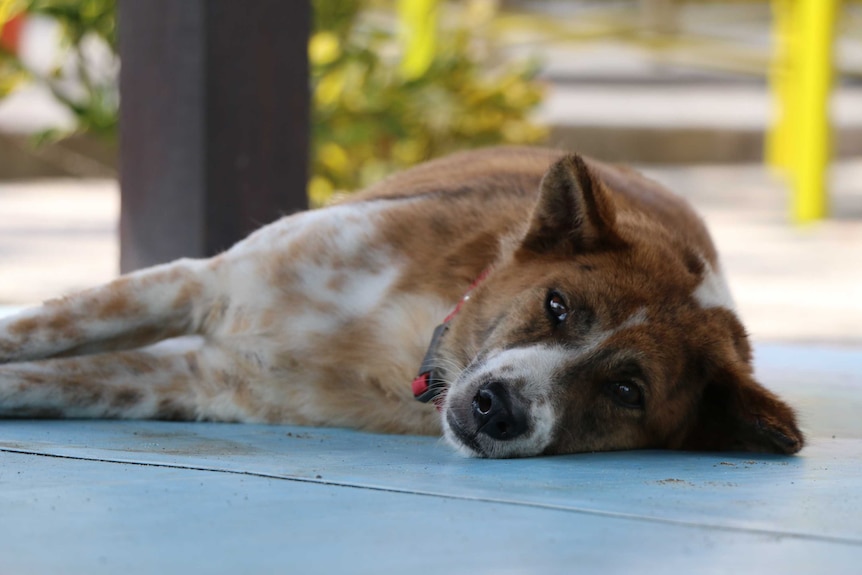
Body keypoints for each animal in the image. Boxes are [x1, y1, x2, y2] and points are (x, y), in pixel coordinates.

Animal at [0, 148, 804, 460]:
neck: (403, 340)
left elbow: (35, 377)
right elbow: (26, 332)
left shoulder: (192, 383)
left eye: (628, 390)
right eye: (557, 305)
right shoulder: (201, 285)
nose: (499, 410)